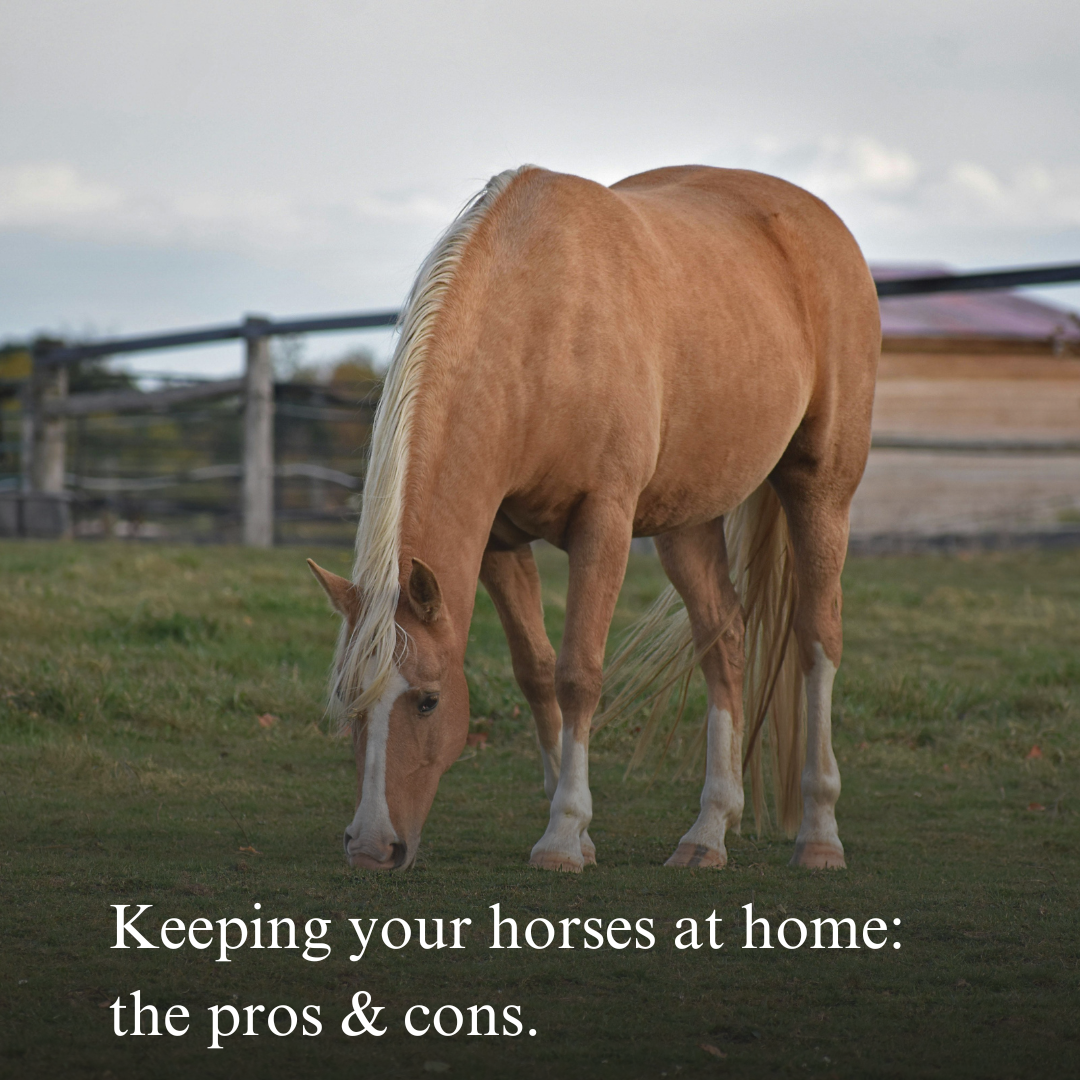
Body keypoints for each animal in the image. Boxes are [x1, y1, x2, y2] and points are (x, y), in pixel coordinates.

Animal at [307, 164, 879, 873]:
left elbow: (578, 672)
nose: (370, 847)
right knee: (724, 639)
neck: (540, 323)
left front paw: (562, 835)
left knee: (817, 639)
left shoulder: (602, 522)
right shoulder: (499, 542)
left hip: (821, 491)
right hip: (686, 521)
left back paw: (820, 834)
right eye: (348, 698)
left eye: (428, 700)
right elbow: (536, 671)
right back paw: (708, 832)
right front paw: (576, 828)